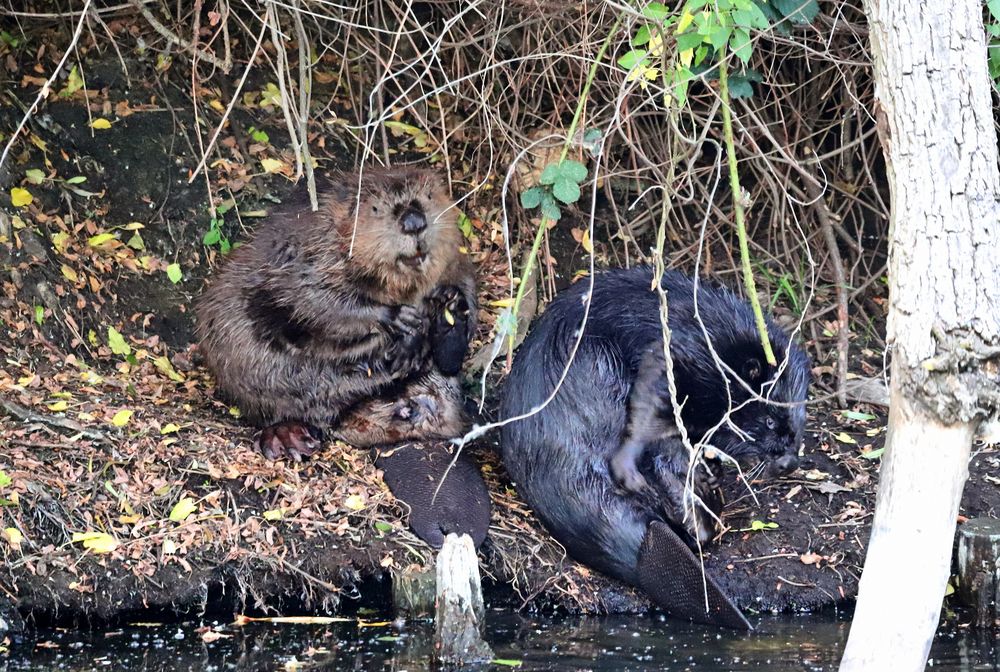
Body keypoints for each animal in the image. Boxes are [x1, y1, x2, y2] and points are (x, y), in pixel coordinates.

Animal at [197, 168, 478, 462]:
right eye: (376, 208)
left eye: (429, 196)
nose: (414, 222)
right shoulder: (306, 255)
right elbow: (318, 301)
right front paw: (401, 320)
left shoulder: (456, 262)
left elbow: (463, 289)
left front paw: (451, 304)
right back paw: (291, 437)